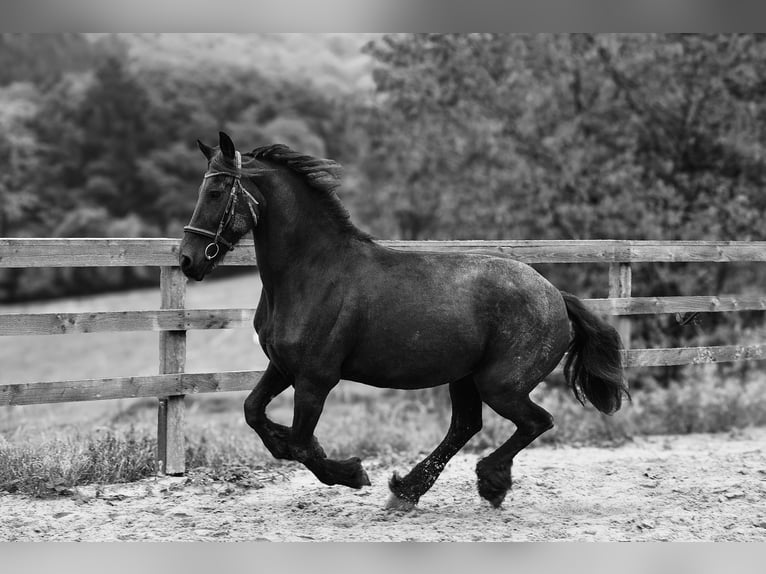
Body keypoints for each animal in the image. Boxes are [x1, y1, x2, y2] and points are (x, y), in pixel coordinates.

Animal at [179, 131, 629, 509]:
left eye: (216, 191)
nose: (188, 260)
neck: (311, 273)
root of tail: (555, 296)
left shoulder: (315, 378)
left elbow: (303, 444)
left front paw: (352, 472)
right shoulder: (282, 366)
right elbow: (254, 412)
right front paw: (285, 442)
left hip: (501, 383)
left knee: (536, 421)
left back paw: (487, 482)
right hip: (466, 377)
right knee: (466, 425)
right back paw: (410, 490)